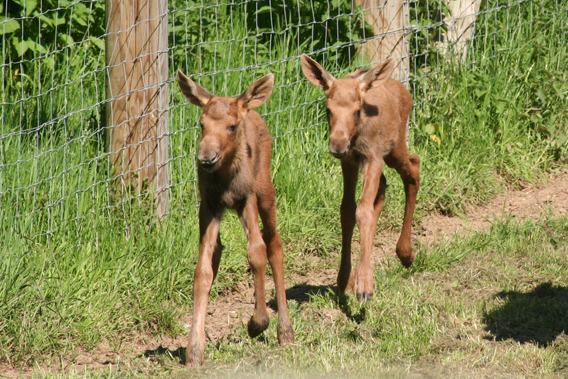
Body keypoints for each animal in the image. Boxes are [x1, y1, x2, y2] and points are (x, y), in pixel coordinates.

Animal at [175, 71, 296, 368]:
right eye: (201, 124)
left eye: (231, 126)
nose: (206, 157)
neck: (225, 180)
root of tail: (251, 108)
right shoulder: (208, 205)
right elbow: (203, 271)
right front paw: (194, 350)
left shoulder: (247, 197)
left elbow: (256, 253)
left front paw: (258, 322)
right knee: (222, 251)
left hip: (265, 188)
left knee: (274, 243)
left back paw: (285, 330)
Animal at [302, 54, 418, 302]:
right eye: (328, 110)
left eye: (357, 111)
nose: (337, 145)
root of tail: (403, 90)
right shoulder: (349, 161)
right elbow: (347, 210)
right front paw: (345, 279)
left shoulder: (373, 156)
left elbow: (363, 211)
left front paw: (364, 286)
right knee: (383, 187)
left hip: (394, 149)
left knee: (414, 167)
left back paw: (405, 253)